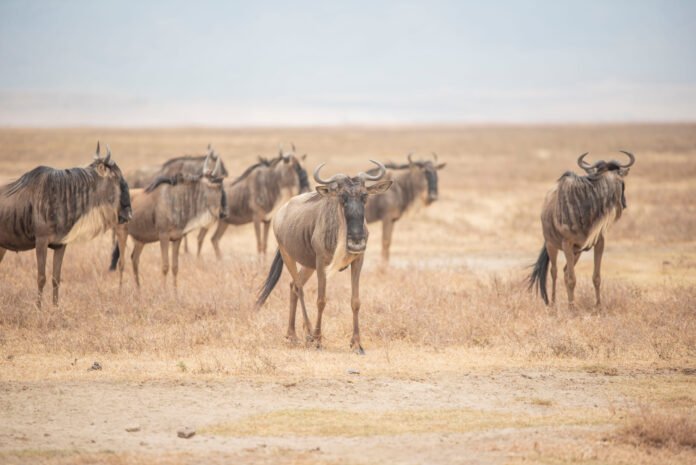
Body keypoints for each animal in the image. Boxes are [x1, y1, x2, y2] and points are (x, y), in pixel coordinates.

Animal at [0, 143, 131, 306]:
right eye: (116, 177)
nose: (129, 214)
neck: (61, 195)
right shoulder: (41, 242)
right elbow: (41, 277)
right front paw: (39, 308)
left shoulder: (61, 244)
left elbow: (56, 278)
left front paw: (56, 307)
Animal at [110, 154, 227, 288]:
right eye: (217, 187)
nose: (223, 213)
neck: (177, 200)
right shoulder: (164, 237)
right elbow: (165, 266)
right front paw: (163, 291)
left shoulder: (177, 238)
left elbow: (175, 267)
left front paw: (175, 293)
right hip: (121, 233)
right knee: (121, 262)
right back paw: (120, 290)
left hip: (140, 240)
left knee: (134, 259)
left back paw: (139, 290)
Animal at [256, 161, 392, 354]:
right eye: (342, 197)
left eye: (364, 196)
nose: (357, 240)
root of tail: (281, 212)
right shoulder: (321, 263)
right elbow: (321, 300)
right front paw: (318, 340)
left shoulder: (358, 261)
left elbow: (355, 301)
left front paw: (357, 344)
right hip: (287, 255)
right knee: (299, 287)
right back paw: (308, 333)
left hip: (308, 265)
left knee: (292, 286)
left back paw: (292, 335)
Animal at [529, 151, 635, 308]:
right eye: (623, 184)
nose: (624, 203)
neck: (587, 209)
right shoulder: (566, 244)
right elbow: (572, 279)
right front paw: (572, 309)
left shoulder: (599, 243)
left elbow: (596, 277)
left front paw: (598, 307)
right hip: (551, 245)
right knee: (554, 272)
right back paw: (553, 305)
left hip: (576, 252)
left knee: (565, 271)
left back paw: (569, 303)